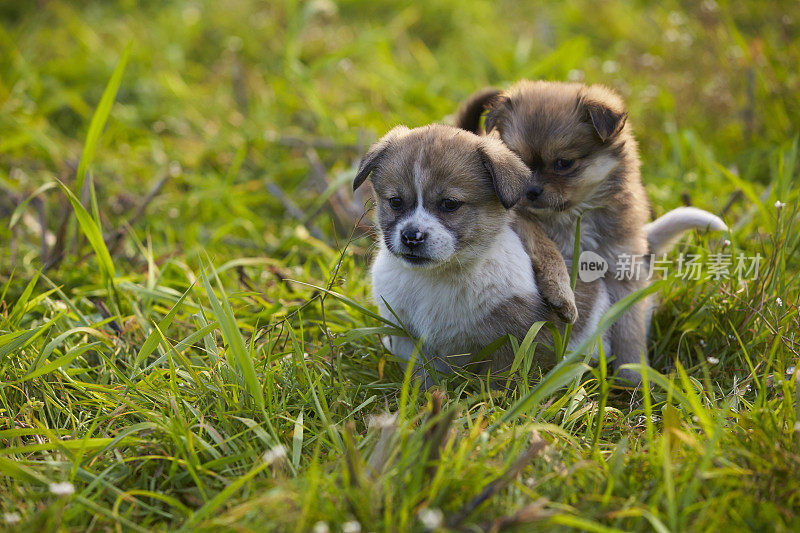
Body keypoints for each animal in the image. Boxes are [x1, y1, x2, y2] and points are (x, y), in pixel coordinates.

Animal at [354, 123, 608, 382]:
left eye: (450, 204)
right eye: (395, 201)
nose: (411, 237)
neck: (438, 276)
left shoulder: (518, 341)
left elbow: (500, 382)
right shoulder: (407, 337)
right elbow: (421, 377)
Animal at [456, 80, 724, 382]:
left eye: (563, 164)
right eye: (517, 162)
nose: (529, 191)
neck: (572, 216)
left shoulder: (623, 272)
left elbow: (629, 328)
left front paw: (633, 376)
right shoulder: (520, 220)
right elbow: (545, 246)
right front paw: (561, 293)